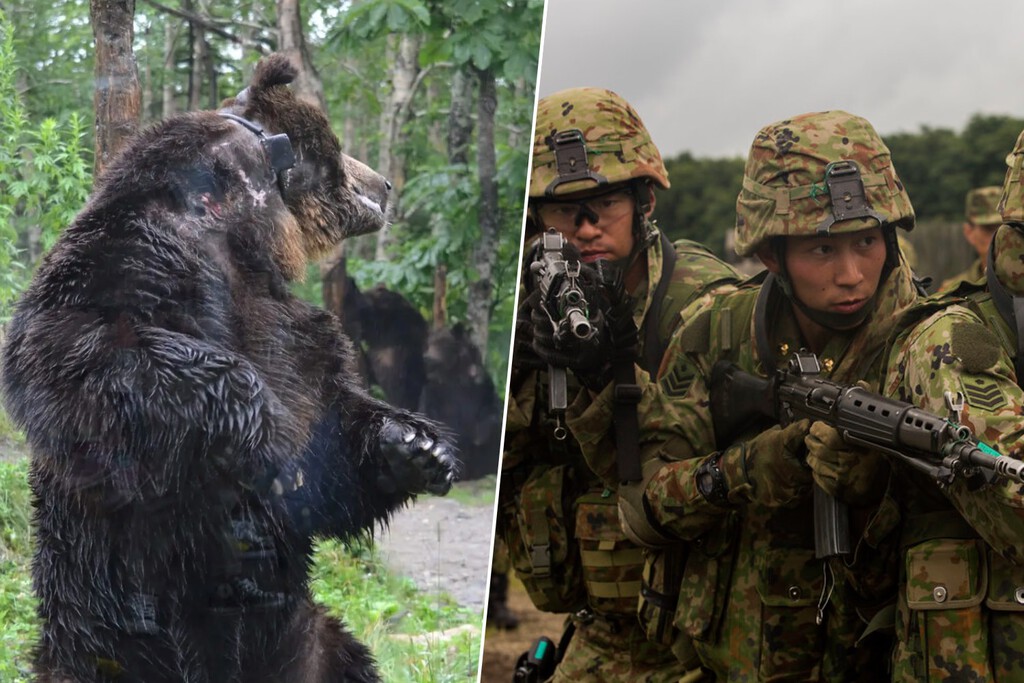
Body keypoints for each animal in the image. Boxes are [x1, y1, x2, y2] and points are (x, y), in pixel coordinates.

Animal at [0, 53, 458, 683]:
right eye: (338, 150)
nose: (384, 184)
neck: (242, 239)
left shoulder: (290, 327)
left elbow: (332, 431)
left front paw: (416, 445)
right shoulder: (133, 256)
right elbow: (77, 343)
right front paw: (256, 428)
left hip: (301, 637)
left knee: (341, 653)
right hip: (107, 622)